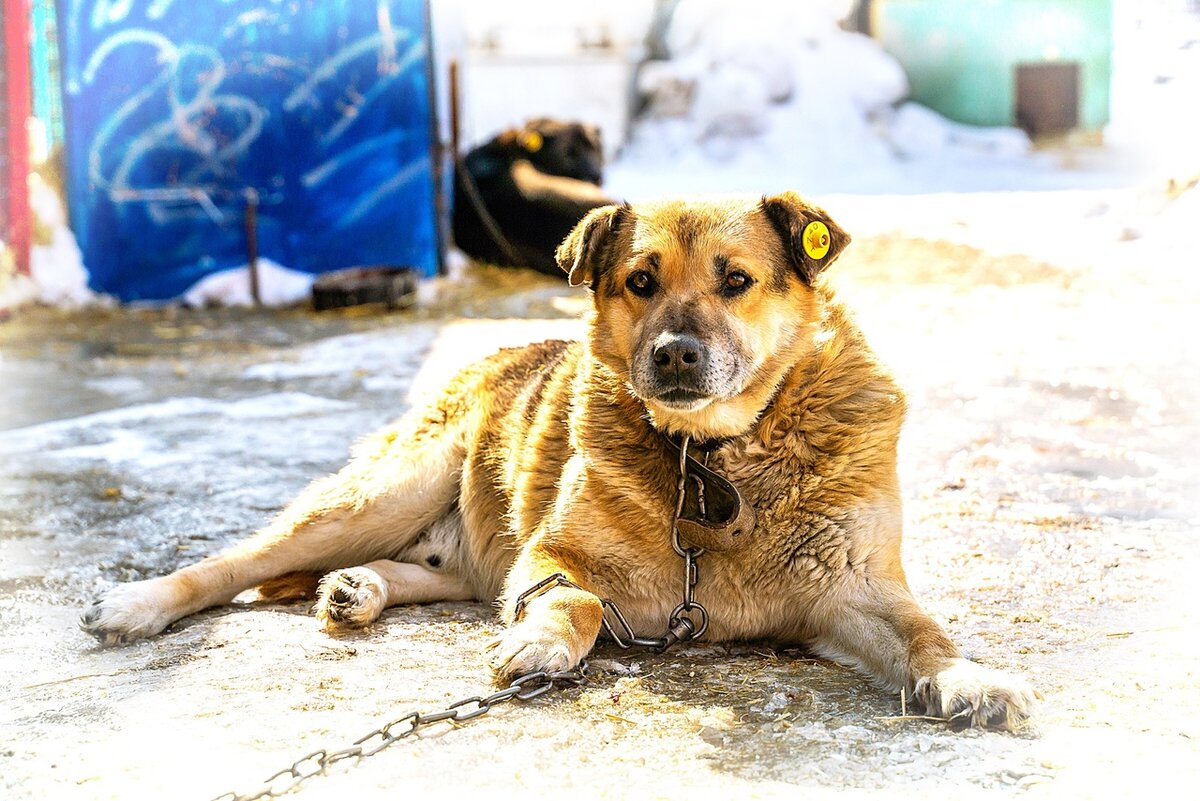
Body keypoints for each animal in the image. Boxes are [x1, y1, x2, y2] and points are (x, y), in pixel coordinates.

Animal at [84, 191, 1036, 724]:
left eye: (736, 280)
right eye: (640, 282)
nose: (676, 355)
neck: (713, 460)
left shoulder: (855, 589)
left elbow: (927, 633)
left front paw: (969, 678)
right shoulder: (552, 555)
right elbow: (574, 597)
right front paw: (543, 642)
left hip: (446, 546)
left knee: (435, 573)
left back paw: (362, 588)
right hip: (385, 493)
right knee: (233, 562)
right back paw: (137, 602)